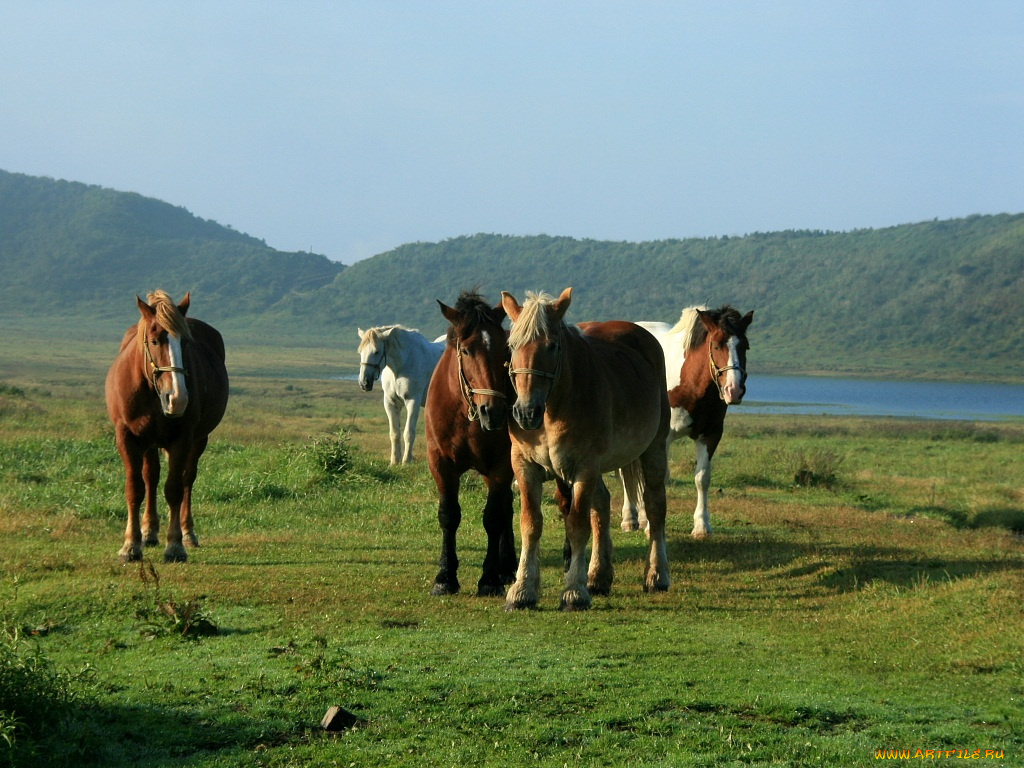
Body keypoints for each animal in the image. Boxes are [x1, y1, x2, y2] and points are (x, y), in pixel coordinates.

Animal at [104, 290, 228, 561]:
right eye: (153, 341)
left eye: (186, 343)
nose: (178, 398)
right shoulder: (127, 437)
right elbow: (135, 488)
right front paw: (131, 545)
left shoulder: (182, 438)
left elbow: (174, 489)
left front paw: (175, 545)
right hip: (149, 442)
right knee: (151, 478)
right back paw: (149, 531)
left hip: (198, 440)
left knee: (187, 479)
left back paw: (188, 533)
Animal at [356, 325, 444, 462]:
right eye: (360, 352)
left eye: (376, 352)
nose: (364, 383)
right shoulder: (390, 402)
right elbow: (395, 433)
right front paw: (394, 460)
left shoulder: (413, 401)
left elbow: (409, 433)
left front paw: (406, 461)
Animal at [425, 290, 516, 598]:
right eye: (465, 350)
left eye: (505, 350)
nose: (494, 411)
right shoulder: (441, 464)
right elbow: (448, 515)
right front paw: (445, 577)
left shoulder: (500, 465)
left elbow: (493, 518)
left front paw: (489, 579)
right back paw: (508, 566)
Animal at [497, 288, 671, 614]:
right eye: (512, 345)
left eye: (552, 346)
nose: (526, 412)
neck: (554, 408)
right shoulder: (524, 466)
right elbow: (530, 523)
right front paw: (523, 590)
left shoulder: (584, 467)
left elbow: (577, 525)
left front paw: (573, 592)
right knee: (601, 505)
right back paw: (598, 576)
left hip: (653, 449)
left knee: (655, 507)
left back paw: (657, 575)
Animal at [614, 307, 753, 540]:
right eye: (717, 345)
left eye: (745, 346)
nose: (734, 390)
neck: (691, 382)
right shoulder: (665, 437)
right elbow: (660, 477)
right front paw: (653, 527)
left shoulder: (711, 434)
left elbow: (702, 478)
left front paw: (702, 526)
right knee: (627, 473)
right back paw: (629, 519)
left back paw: (641, 517)